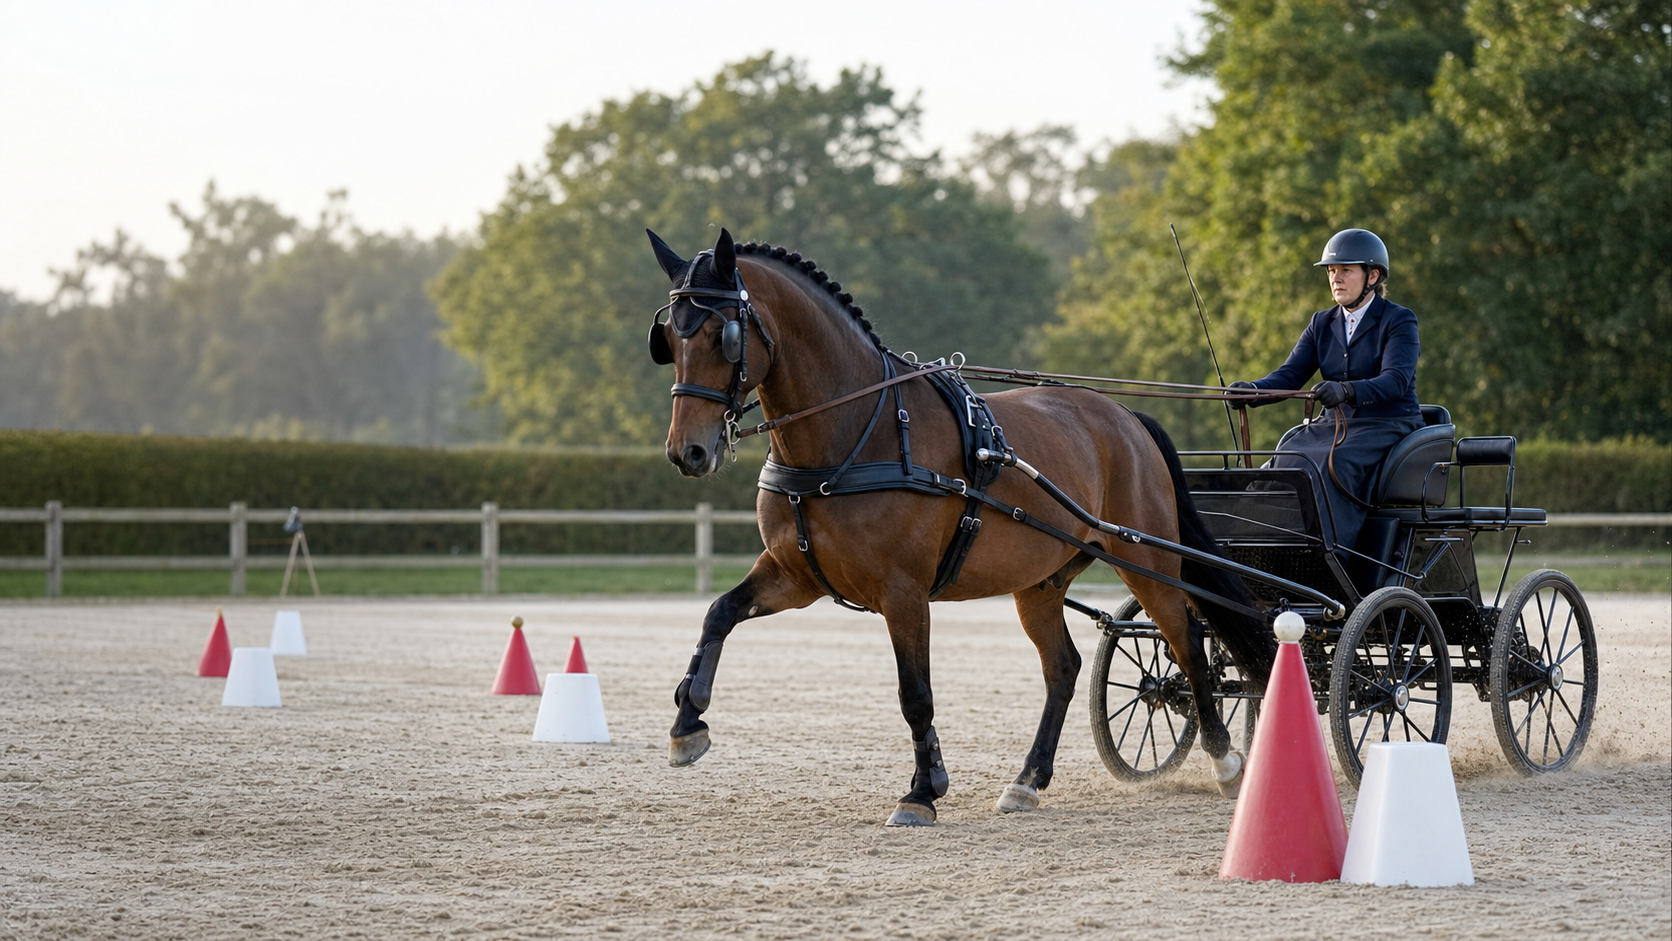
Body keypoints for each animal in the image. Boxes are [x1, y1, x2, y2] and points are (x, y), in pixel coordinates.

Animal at [646, 227, 1274, 826]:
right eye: (669, 339)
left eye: (722, 335)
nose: (687, 452)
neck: (854, 433)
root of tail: (1125, 416)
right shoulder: (795, 575)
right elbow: (719, 613)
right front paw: (687, 723)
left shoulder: (902, 592)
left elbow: (915, 693)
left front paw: (923, 792)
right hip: (1040, 581)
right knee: (1064, 668)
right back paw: (1027, 780)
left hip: (1146, 559)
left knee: (1187, 648)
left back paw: (1226, 763)